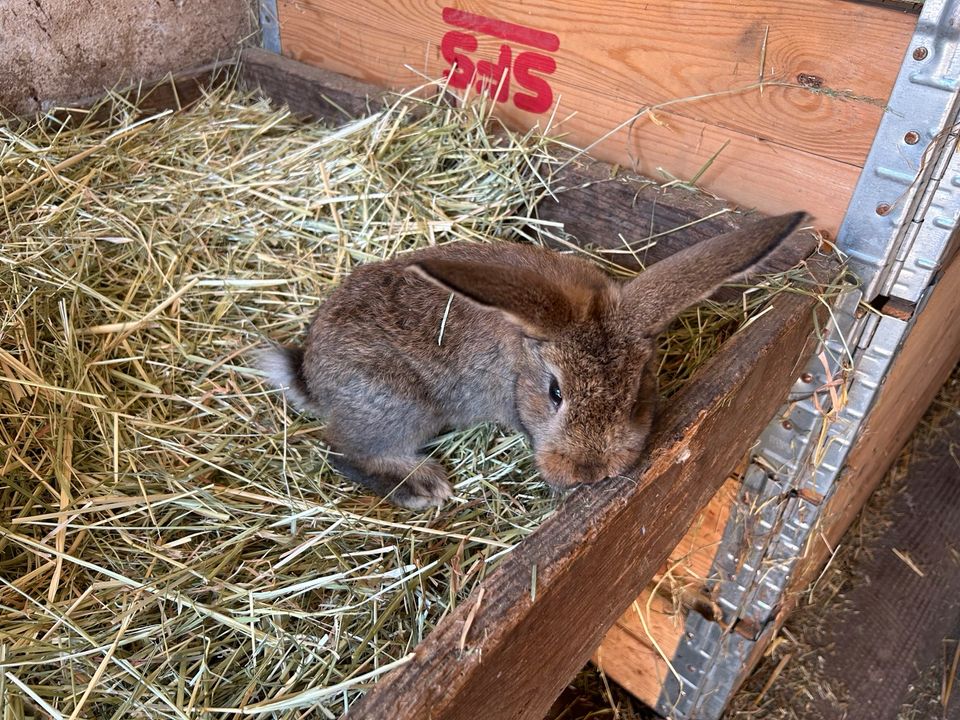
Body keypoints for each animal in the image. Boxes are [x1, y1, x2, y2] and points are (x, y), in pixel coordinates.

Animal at [258, 211, 808, 510]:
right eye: (554, 392)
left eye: (636, 395)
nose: (589, 473)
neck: (522, 351)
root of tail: (310, 375)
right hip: (398, 405)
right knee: (342, 452)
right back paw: (423, 485)